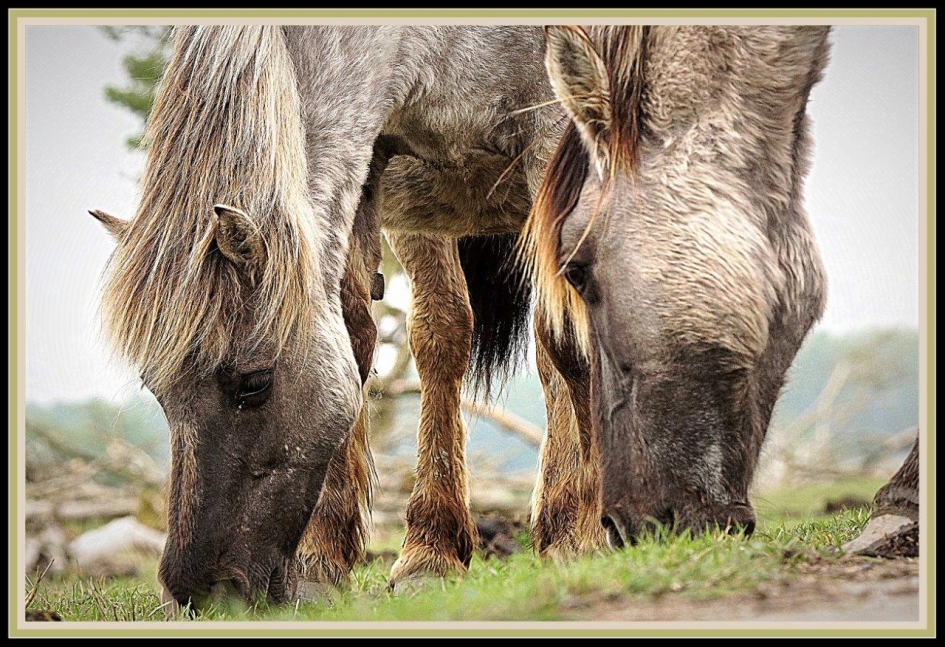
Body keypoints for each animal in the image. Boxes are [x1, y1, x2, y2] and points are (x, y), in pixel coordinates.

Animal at [90, 26, 602, 609]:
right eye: (154, 389)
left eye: (253, 384)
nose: (201, 591)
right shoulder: (377, 164)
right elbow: (401, 336)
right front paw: (370, 558)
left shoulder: (556, 132)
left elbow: (567, 340)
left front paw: (586, 533)